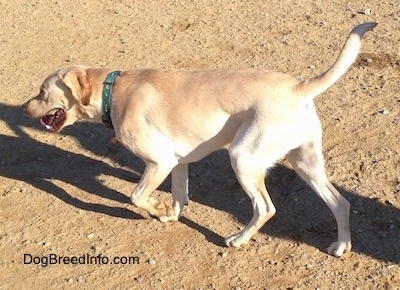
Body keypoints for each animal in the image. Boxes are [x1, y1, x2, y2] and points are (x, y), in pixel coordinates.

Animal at [21, 23, 376, 258]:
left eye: (41, 91)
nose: (24, 107)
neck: (112, 92)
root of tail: (298, 88)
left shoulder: (159, 162)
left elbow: (136, 196)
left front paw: (154, 207)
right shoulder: (177, 163)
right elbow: (179, 196)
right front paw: (168, 214)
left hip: (243, 159)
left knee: (265, 208)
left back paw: (238, 240)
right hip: (305, 164)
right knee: (341, 203)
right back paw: (341, 246)